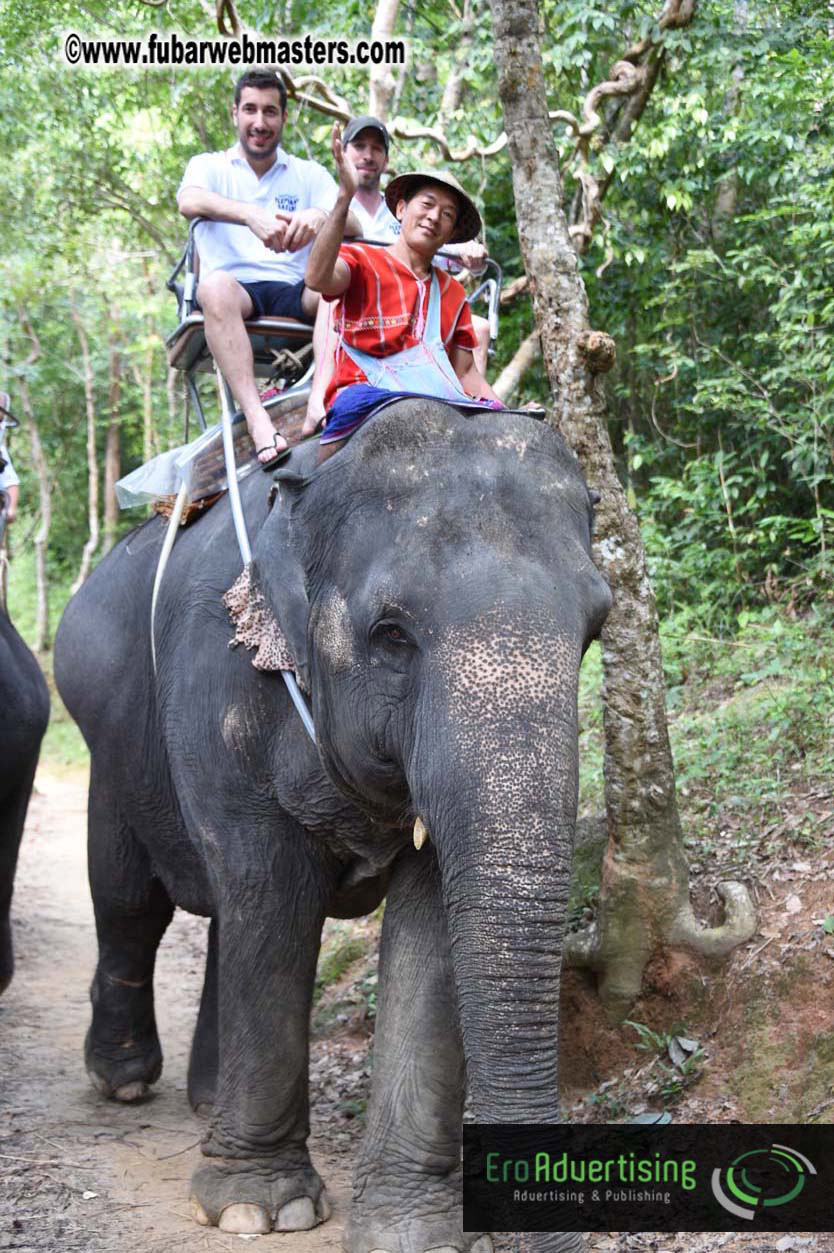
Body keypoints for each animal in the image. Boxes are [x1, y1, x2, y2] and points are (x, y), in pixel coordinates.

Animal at [54, 401, 611, 1253]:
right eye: (391, 635)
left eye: (595, 628)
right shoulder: (221, 686)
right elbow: (272, 891)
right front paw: (258, 1207)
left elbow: (429, 921)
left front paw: (412, 1231)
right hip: (110, 741)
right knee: (131, 900)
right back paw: (122, 1081)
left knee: (221, 913)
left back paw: (207, 1100)